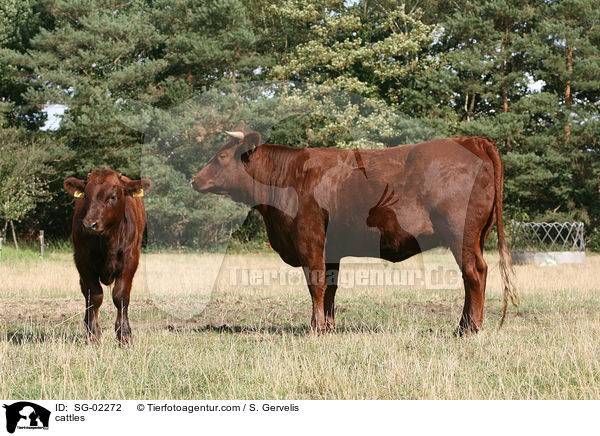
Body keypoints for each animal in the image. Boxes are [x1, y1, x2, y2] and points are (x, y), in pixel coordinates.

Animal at [63, 169, 151, 346]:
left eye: (113, 196)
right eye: (86, 195)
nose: (90, 224)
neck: (108, 240)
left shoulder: (131, 259)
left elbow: (121, 296)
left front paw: (124, 335)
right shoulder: (82, 260)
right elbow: (94, 295)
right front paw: (93, 334)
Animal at [193, 130, 520, 334]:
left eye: (221, 157)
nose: (194, 180)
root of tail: (472, 140)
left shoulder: (309, 238)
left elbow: (316, 284)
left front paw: (315, 328)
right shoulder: (331, 249)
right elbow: (330, 286)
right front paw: (328, 327)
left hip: (460, 233)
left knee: (474, 273)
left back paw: (469, 329)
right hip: (477, 235)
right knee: (471, 276)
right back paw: (464, 326)